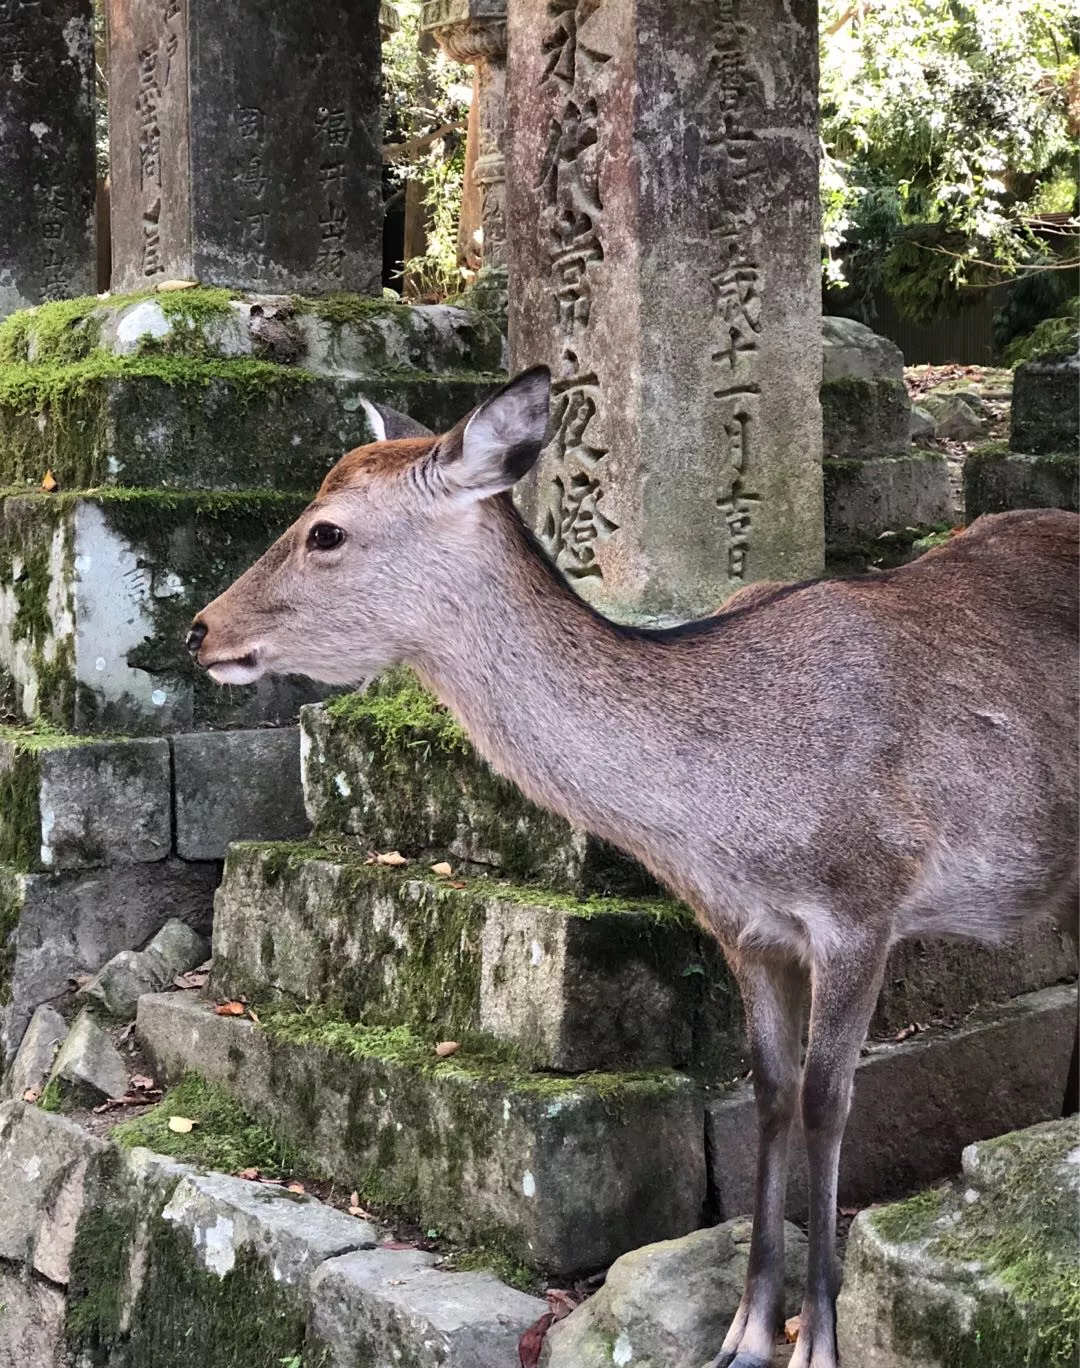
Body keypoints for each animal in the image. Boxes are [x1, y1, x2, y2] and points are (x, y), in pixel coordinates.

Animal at [190, 366, 1073, 1368]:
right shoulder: (747, 928)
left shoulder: (863, 901)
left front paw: (818, 1342)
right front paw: (744, 1335)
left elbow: (826, 1100)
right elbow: (769, 1094)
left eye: (326, 531)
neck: (726, 819)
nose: (199, 630)